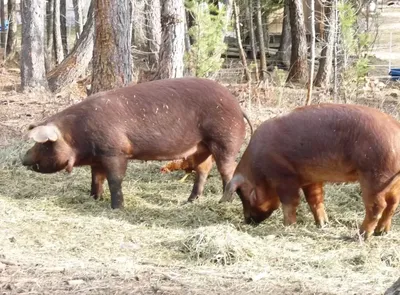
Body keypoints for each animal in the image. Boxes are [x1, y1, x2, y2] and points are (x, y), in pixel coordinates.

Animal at [20, 77, 252, 209]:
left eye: (43, 144)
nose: (23, 158)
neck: (77, 135)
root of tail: (238, 107)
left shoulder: (115, 151)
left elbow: (115, 179)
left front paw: (116, 208)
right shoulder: (98, 158)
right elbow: (96, 179)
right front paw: (94, 198)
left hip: (224, 141)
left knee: (227, 171)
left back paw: (223, 202)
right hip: (201, 146)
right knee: (203, 169)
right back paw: (190, 201)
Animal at [220, 104, 400, 240]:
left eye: (245, 195)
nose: (247, 221)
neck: (259, 171)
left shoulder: (284, 177)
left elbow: (290, 202)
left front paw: (288, 226)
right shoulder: (311, 179)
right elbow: (315, 200)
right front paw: (323, 224)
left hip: (375, 176)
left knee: (377, 206)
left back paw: (360, 235)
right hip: (393, 181)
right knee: (393, 204)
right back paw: (381, 233)